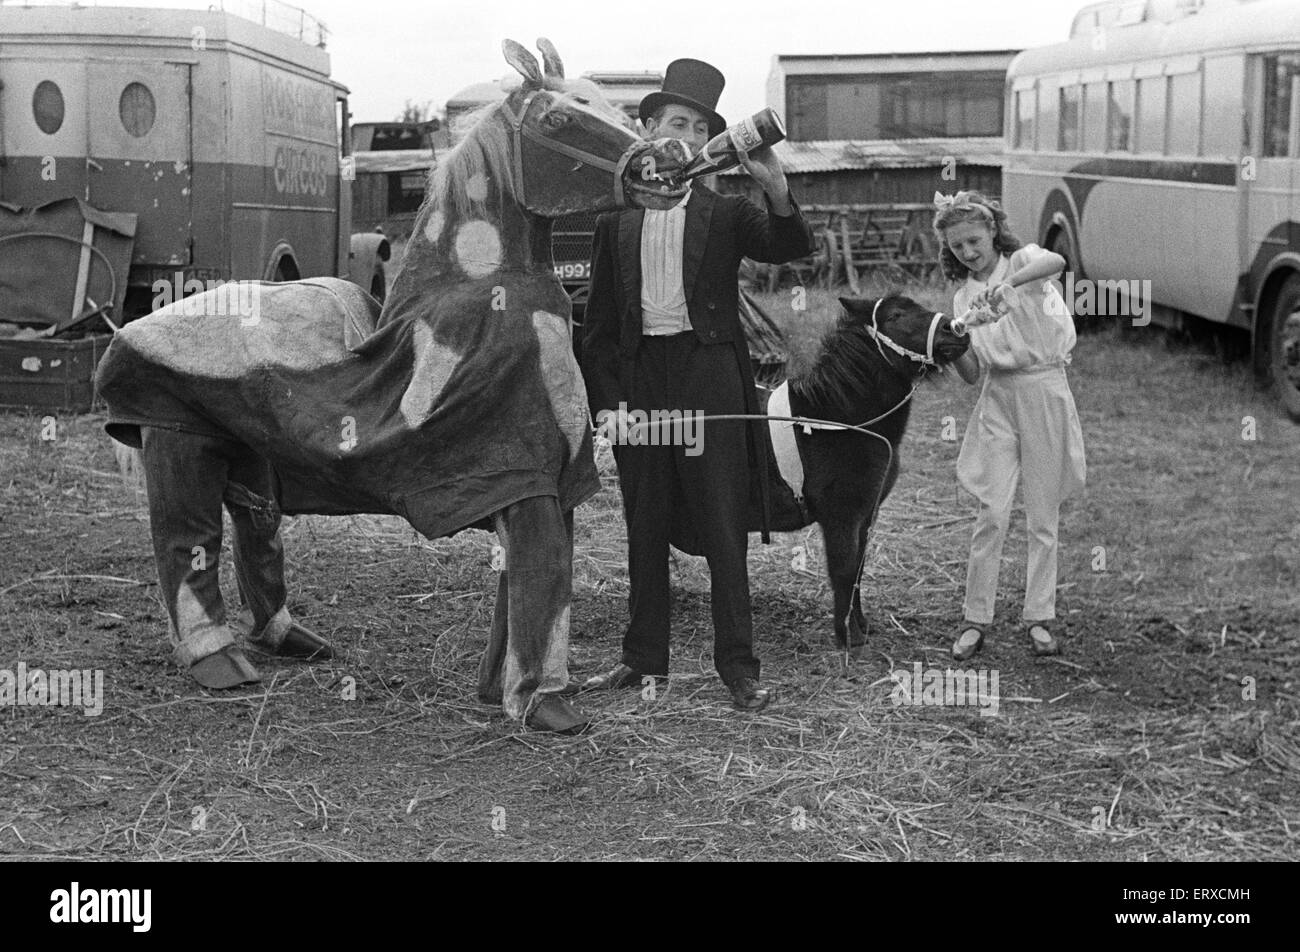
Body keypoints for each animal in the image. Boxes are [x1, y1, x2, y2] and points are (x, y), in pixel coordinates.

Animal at [97, 39, 691, 738]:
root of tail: (128, 332)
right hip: (177, 438)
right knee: (185, 544)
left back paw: (289, 640)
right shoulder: (524, 479)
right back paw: (217, 662)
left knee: (256, 527)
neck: (489, 294)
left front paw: (497, 689)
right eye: (559, 119)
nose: (670, 160)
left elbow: (526, 582)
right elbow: (544, 578)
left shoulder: (547, 483)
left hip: (243, 452)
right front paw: (545, 704)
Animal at [764, 297, 972, 655]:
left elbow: (859, 569)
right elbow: (844, 571)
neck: (836, 421)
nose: (956, 330)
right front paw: (848, 636)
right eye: (896, 315)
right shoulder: (841, 518)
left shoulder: (864, 517)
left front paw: (860, 625)